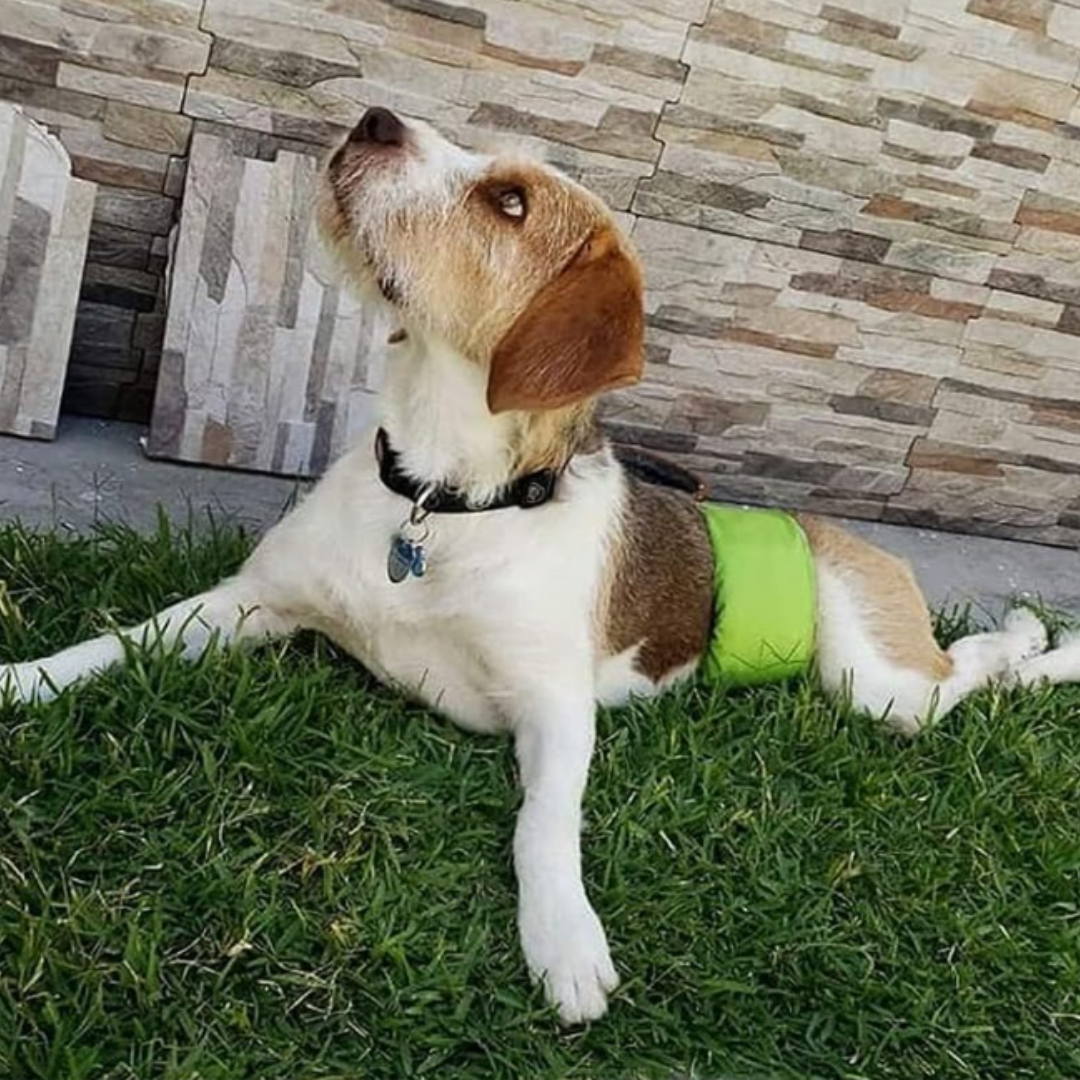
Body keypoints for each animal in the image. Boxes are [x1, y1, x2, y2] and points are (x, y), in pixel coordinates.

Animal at [3, 108, 1078, 1024]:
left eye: (510, 202)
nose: (373, 117)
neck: (439, 503)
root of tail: (835, 529)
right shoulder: (250, 603)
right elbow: (118, 641)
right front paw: (24, 678)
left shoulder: (556, 712)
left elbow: (545, 825)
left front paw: (564, 939)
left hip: (874, 681)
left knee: (964, 672)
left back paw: (1030, 639)